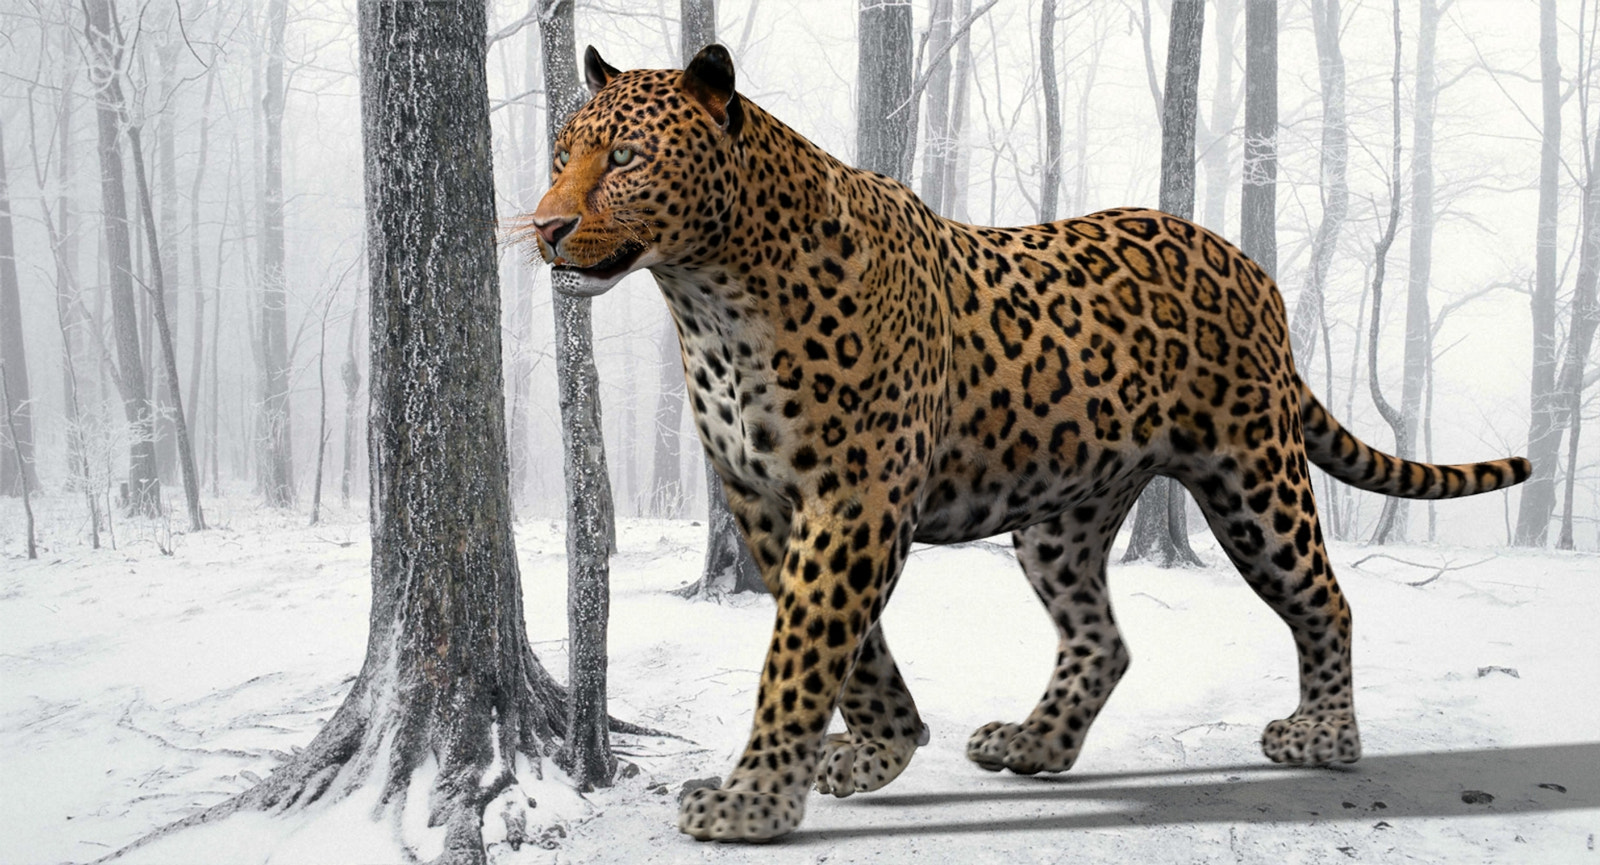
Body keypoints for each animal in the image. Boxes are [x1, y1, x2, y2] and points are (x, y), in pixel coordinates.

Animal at [515, 44, 1532, 843]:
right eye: (560, 156)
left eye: (626, 156)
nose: (546, 225)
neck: (708, 298)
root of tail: (1255, 270)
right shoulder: (765, 502)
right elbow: (852, 651)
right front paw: (882, 748)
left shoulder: (854, 502)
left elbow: (800, 656)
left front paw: (752, 800)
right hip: (1065, 514)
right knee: (1102, 639)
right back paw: (1034, 743)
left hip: (1254, 479)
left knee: (1325, 598)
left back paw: (1324, 736)